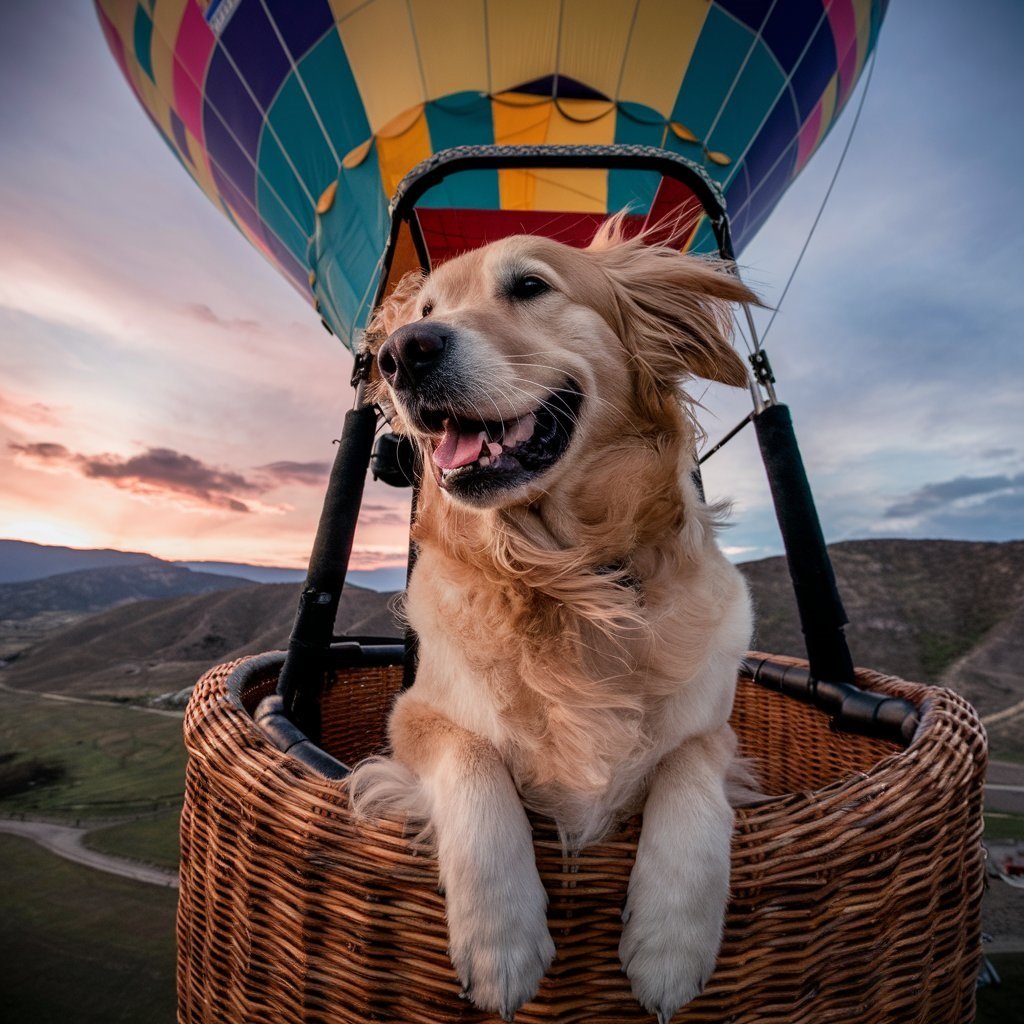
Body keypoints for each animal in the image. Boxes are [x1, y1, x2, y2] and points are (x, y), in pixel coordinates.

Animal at [348, 218, 757, 1024]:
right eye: (424, 311)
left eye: (530, 285)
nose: (400, 354)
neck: (564, 579)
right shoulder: (414, 716)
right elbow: (474, 758)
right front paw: (501, 944)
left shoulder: (717, 728)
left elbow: (689, 768)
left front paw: (670, 947)